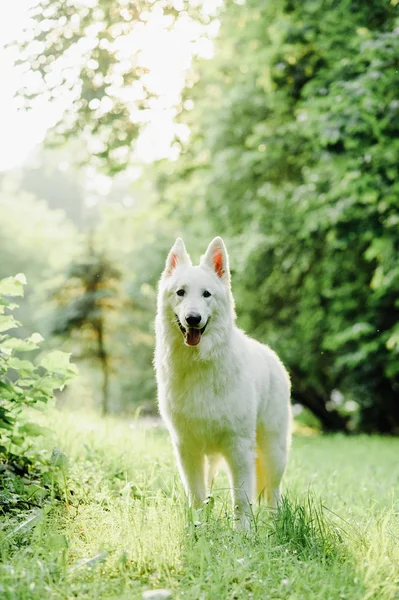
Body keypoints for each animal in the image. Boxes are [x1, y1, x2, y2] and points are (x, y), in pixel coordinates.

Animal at [155, 237, 292, 528]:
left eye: (206, 294)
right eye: (180, 293)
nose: (193, 318)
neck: (199, 363)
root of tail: (272, 355)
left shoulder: (239, 448)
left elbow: (241, 499)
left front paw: (243, 532)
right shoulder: (187, 448)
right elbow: (196, 496)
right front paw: (198, 527)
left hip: (272, 451)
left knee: (272, 493)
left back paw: (273, 524)